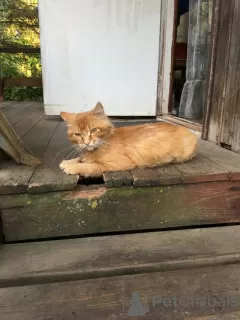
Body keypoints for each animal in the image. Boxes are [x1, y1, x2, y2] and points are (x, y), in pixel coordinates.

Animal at [59, 102, 198, 176]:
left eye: (94, 130)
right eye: (77, 134)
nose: (86, 143)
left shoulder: (117, 163)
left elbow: (91, 166)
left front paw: (73, 167)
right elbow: (81, 158)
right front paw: (69, 162)